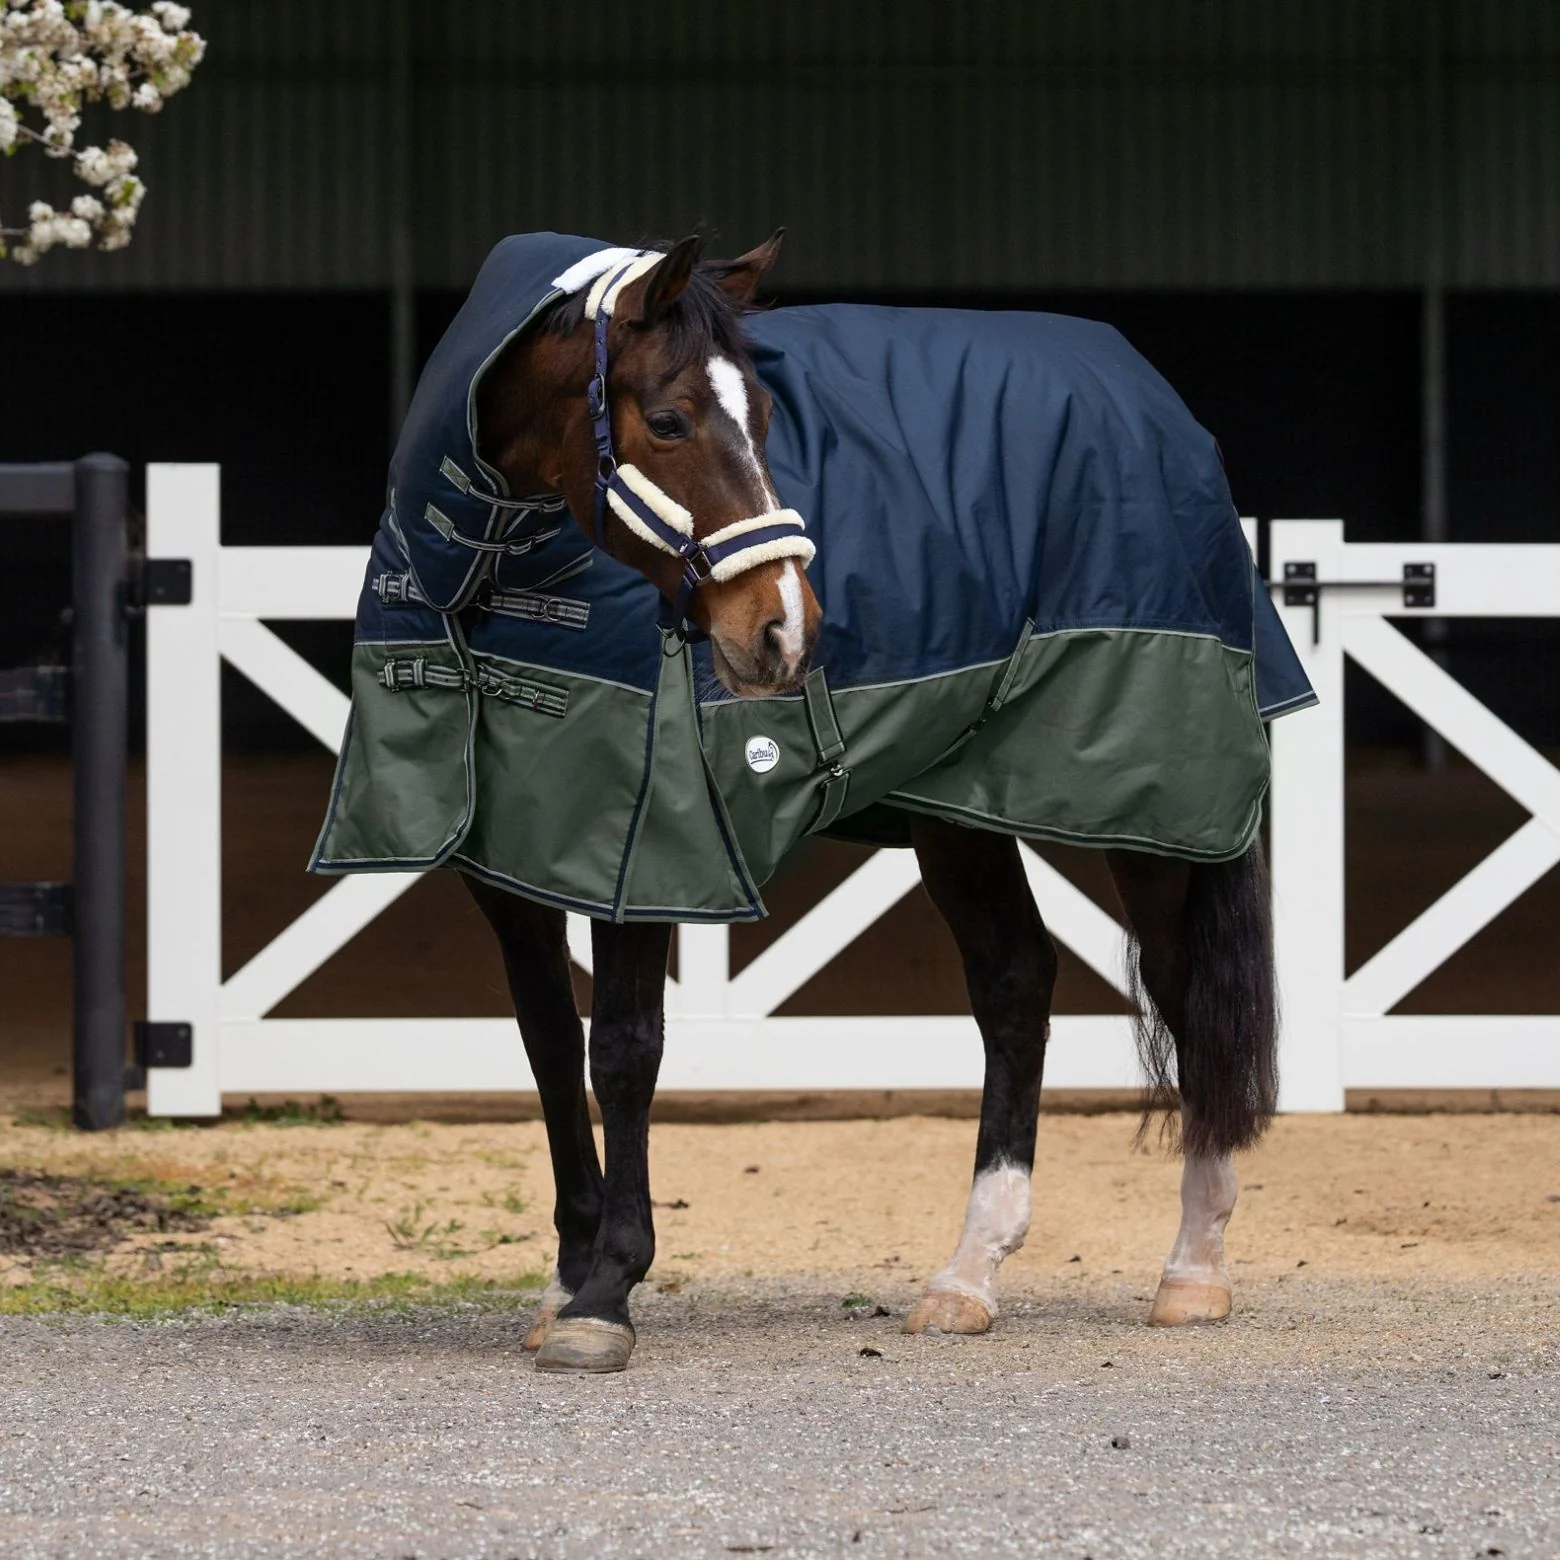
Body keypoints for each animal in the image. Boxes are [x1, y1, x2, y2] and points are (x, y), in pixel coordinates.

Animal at [314, 232, 1300, 1374]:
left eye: (767, 418)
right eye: (668, 420)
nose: (786, 629)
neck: (502, 562)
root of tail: (1154, 400)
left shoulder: (648, 847)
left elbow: (625, 1048)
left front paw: (608, 1290)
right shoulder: (514, 857)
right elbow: (551, 1048)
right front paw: (566, 1278)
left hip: (1147, 811)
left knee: (1187, 998)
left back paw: (1193, 1269)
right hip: (959, 810)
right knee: (1017, 985)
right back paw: (970, 1274)